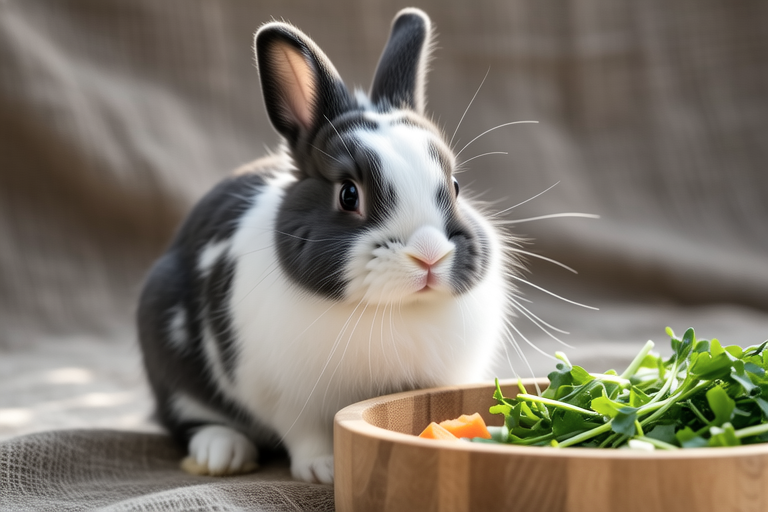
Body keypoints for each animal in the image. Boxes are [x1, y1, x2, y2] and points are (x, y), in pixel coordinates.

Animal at [137, 7, 518, 485]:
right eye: (348, 194)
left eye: (455, 186)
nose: (429, 256)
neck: (395, 311)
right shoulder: (286, 397)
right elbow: (305, 433)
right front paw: (325, 470)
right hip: (166, 350)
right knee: (186, 418)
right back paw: (221, 453)